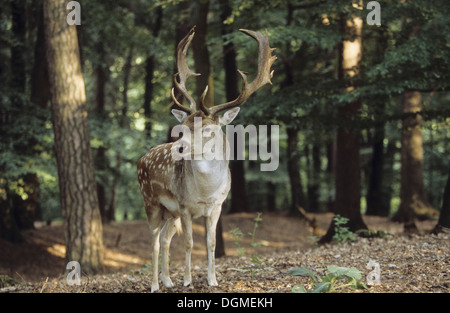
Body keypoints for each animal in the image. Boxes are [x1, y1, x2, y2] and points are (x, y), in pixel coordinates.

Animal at [137, 25, 276, 292]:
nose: (179, 147)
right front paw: (188, 280)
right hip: (151, 202)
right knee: (155, 240)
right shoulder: (184, 206)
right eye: (184, 127)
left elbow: (211, 243)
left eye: (209, 129)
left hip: (170, 213)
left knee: (166, 239)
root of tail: (141, 160)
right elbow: (190, 243)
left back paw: (167, 280)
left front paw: (212, 280)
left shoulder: (217, 206)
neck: (204, 192)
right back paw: (155, 285)